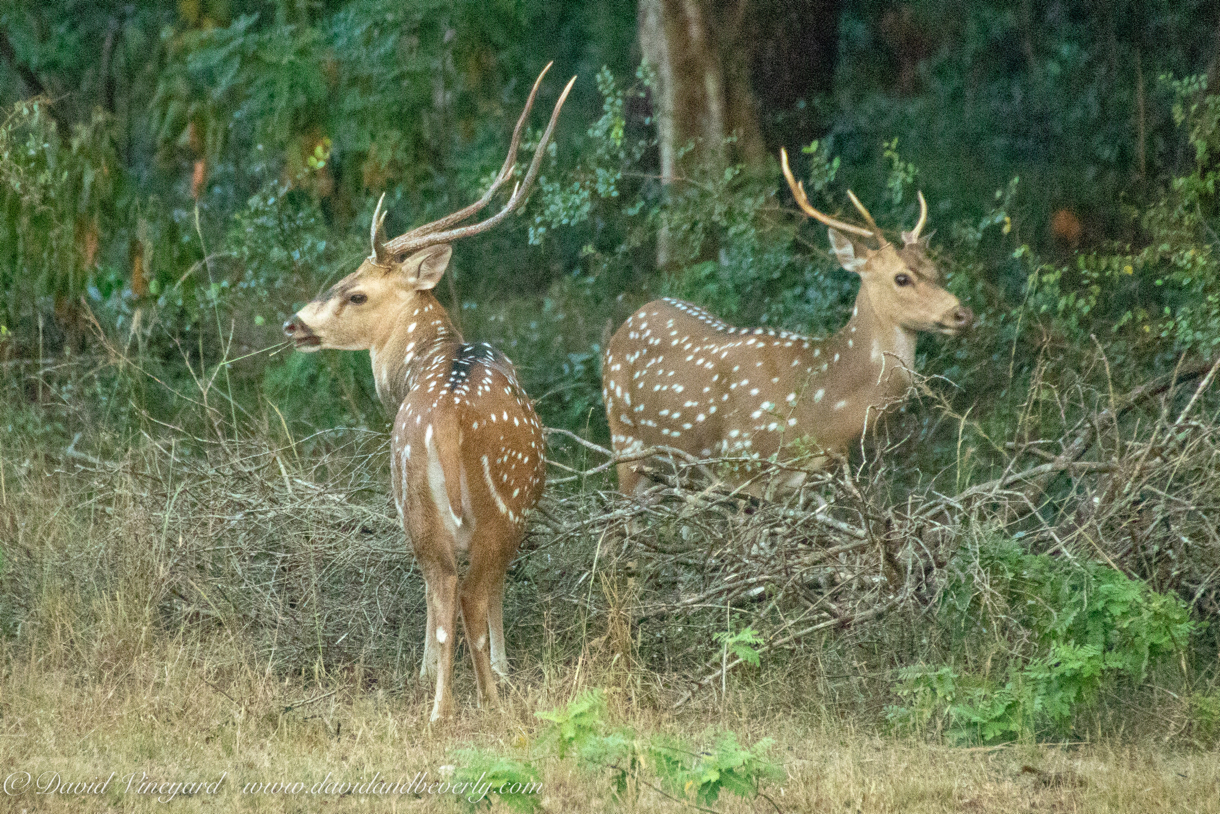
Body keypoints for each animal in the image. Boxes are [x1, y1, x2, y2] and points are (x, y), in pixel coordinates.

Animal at [283, 66, 573, 722]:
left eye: (355, 291)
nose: (294, 323)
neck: (423, 367)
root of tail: (444, 419)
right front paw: (500, 672)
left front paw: (428, 676)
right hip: (497, 510)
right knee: (468, 594)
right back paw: (484, 698)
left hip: (421, 506)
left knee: (444, 591)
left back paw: (441, 706)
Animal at [600, 149, 971, 500]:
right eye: (901, 278)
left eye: (938, 270)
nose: (962, 314)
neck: (820, 411)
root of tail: (629, 320)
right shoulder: (743, 465)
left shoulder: (805, 481)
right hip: (625, 439)